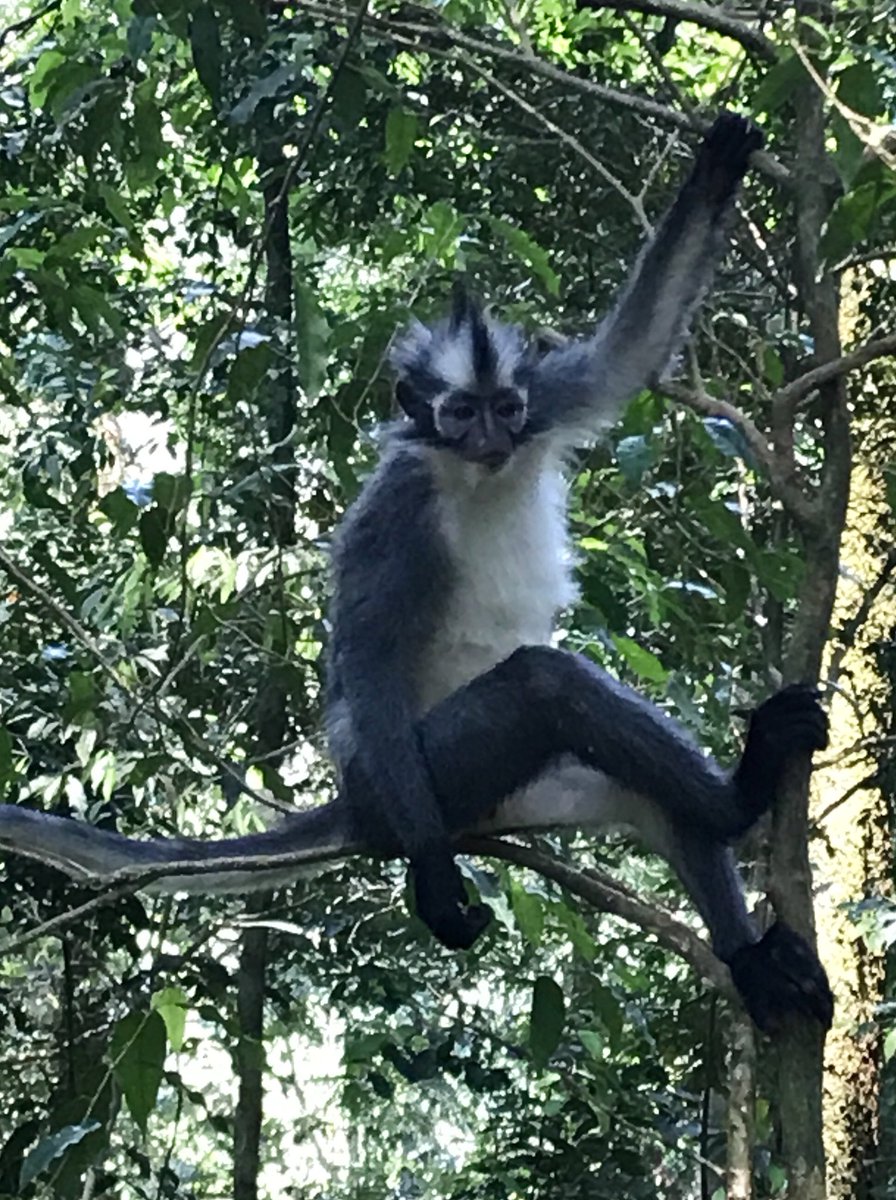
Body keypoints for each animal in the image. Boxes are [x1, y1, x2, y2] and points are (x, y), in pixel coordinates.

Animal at [0, 114, 834, 1032]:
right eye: (458, 413)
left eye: (503, 408)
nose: (492, 437)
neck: (476, 473)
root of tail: (359, 804)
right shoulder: (394, 510)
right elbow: (367, 658)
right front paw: (433, 883)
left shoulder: (546, 404)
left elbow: (629, 351)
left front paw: (717, 166)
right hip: (417, 777)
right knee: (542, 684)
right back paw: (742, 795)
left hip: (532, 788)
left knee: (658, 800)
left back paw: (746, 927)